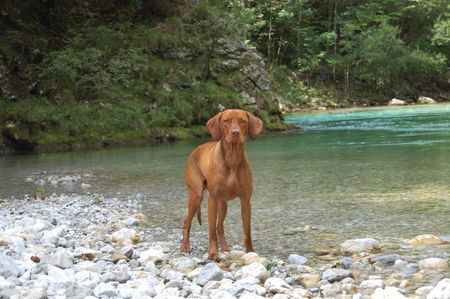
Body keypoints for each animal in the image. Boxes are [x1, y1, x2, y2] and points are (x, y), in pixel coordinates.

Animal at [180, 109, 264, 262]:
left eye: (243, 121)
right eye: (226, 121)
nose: (235, 132)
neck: (232, 159)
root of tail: (196, 150)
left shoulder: (246, 201)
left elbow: (247, 231)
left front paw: (250, 252)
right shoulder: (212, 199)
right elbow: (211, 231)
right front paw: (213, 253)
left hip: (223, 203)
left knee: (220, 226)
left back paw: (225, 247)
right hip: (196, 196)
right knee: (187, 222)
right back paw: (185, 247)